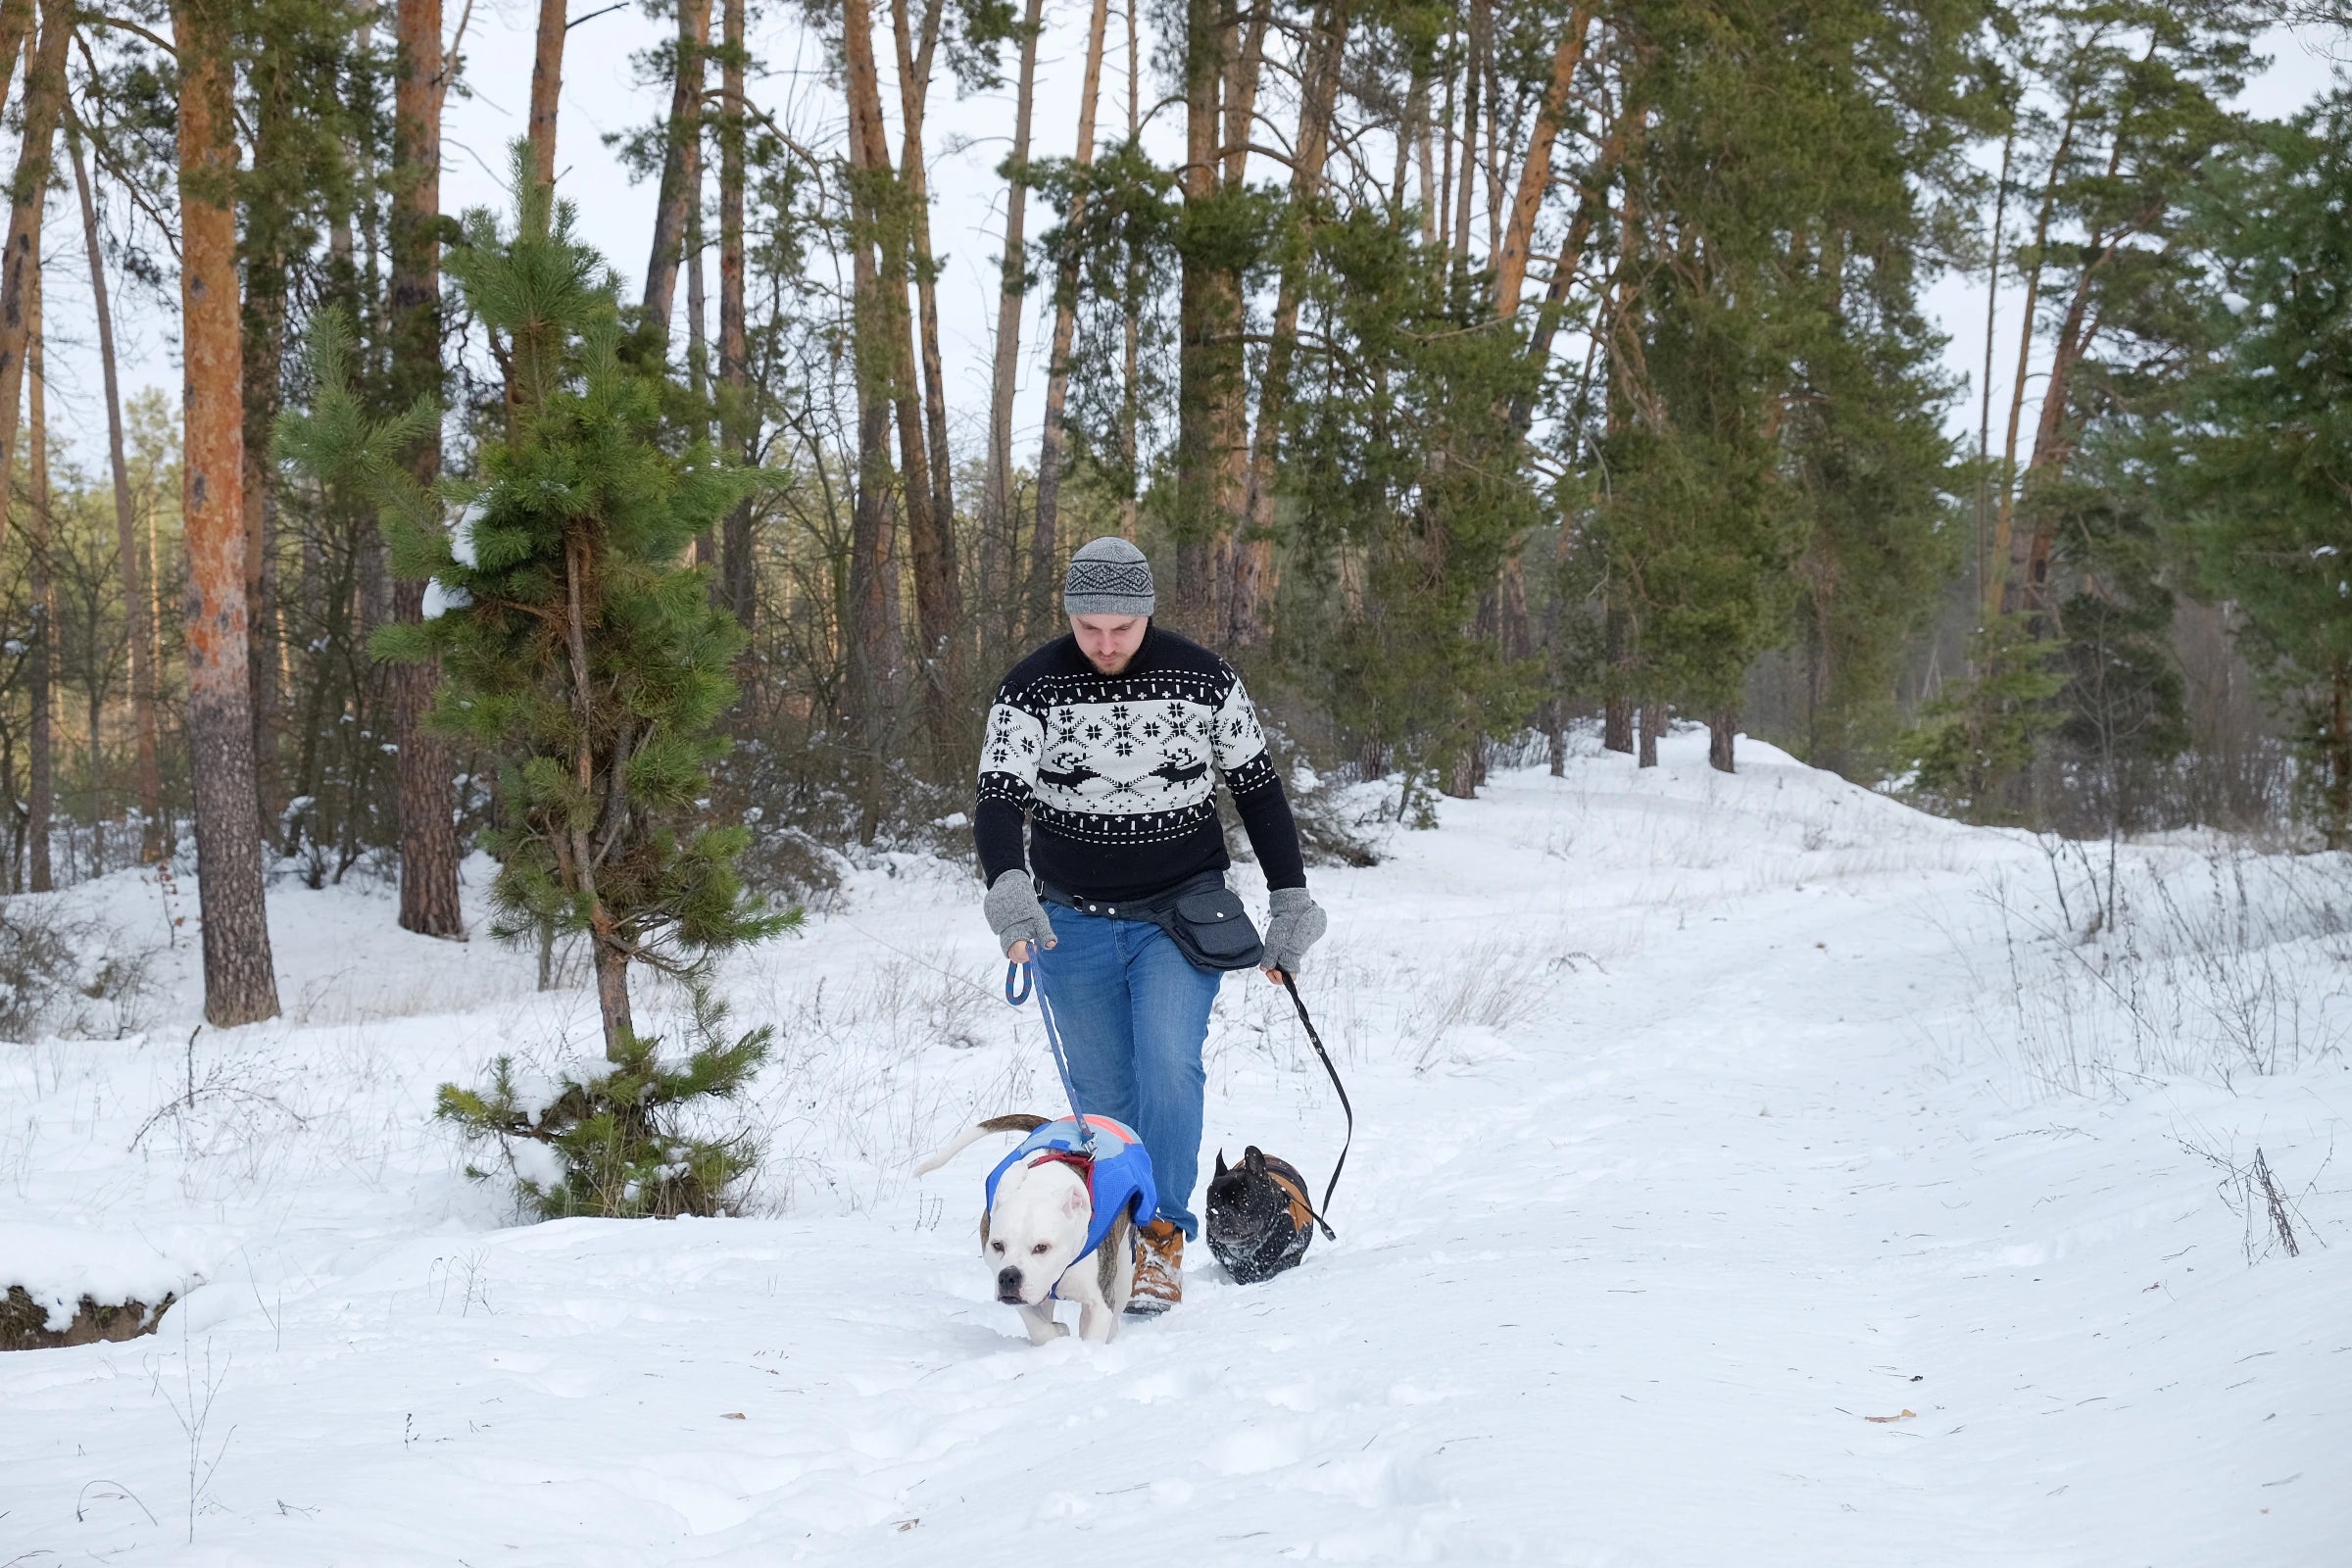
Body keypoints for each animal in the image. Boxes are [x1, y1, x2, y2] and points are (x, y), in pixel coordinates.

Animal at [907, 1109, 1148, 1345]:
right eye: (997, 1245)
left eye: (1042, 1247)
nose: (1008, 1277)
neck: (1040, 1186)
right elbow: (1040, 1328)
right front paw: (1058, 1333)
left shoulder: (1098, 1302)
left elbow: (1093, 1334)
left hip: (1124, 1270)